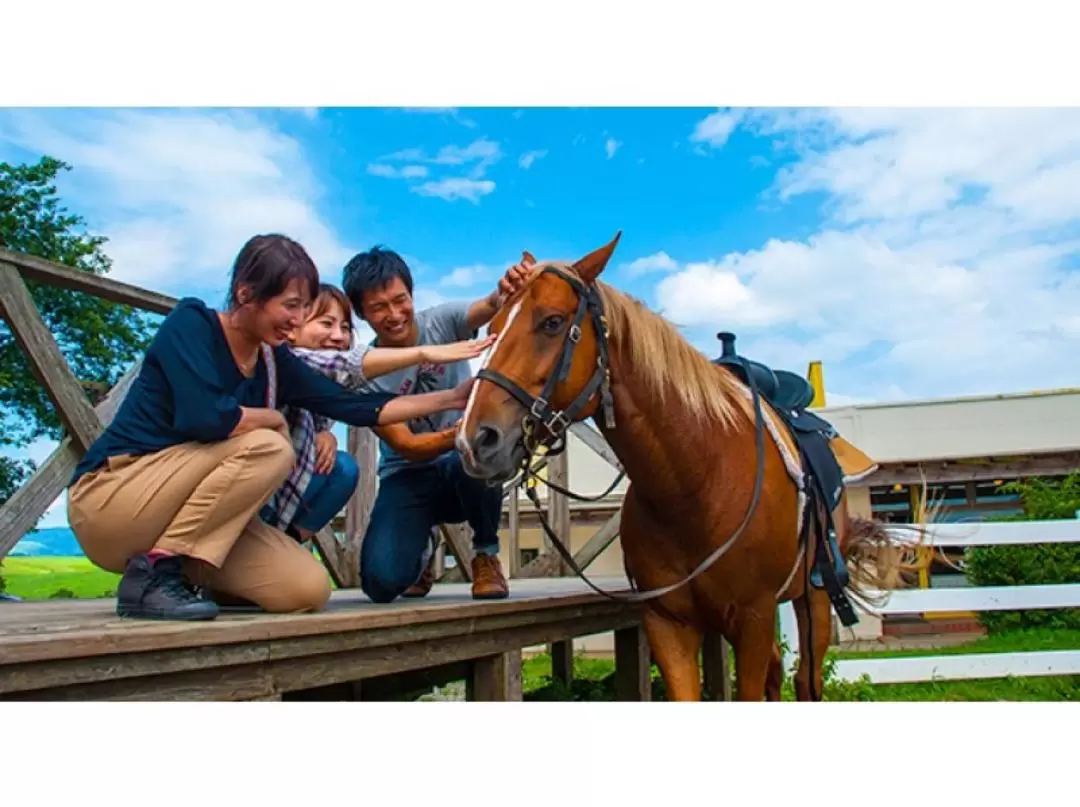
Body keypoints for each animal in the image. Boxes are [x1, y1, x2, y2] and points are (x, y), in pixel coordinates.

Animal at [455, 233, 920, 700]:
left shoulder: (754, 618)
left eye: (552, 322)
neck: (694, 484)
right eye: (491, 330)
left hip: (814, 597)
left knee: (806, 679)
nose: (474, 440)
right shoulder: (668, 625)